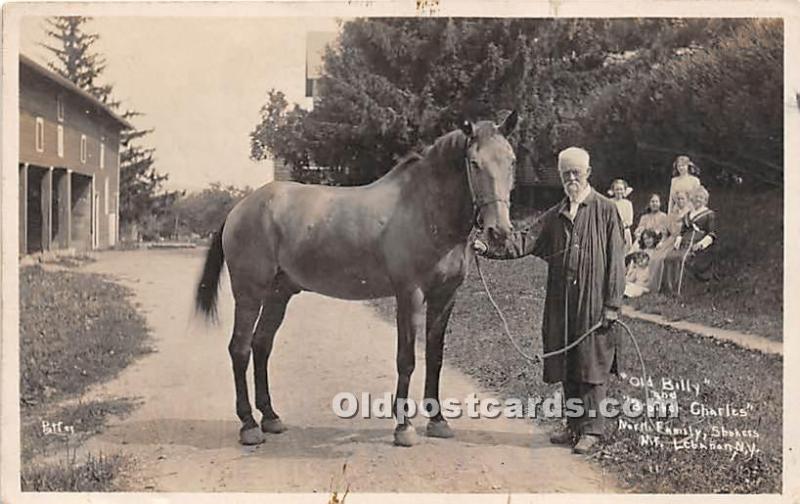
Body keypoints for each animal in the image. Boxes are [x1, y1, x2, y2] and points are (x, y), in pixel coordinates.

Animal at [194, 112, 520, 446]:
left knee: (261, 345)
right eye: (474, 163)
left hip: (278, 294)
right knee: (240, 349)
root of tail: (239, 209)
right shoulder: (410, 295)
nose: (499, 232)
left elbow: (435, 357)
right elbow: (406, 359)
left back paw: (270, 417)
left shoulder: (445, 296)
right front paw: (404, 427)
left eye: (512, 161)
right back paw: (249, 425)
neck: (424, 208)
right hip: (249, 294)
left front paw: (438, 421)